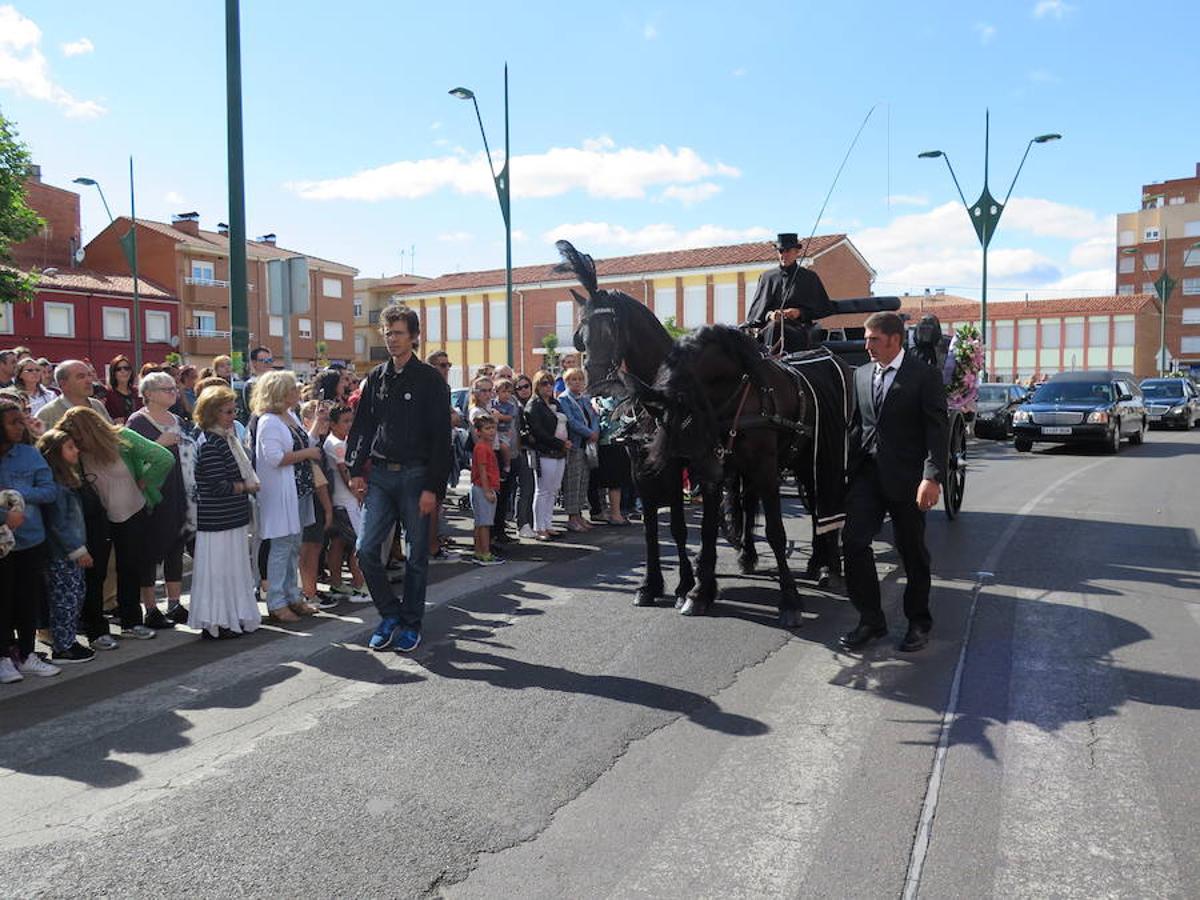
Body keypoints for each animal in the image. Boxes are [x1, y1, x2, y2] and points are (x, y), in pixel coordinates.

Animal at [556, 240, 705, 609]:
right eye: (580, 335)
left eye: (612, 329)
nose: (594, 387)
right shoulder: (639, 467)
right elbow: (650, 527)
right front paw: (650, 585)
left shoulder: (673, 466)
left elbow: (678, 526)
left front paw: (683, 585)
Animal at [648, 328, 854, 628]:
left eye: (687, 416)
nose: (679, 470)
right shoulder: (719, 474)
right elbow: (708, 530)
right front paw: (699, 592)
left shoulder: (765, 469)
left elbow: (776, 533)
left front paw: (790, 600)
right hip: (803, 463)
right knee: (815, 508)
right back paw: (815, 562)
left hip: (827, 458)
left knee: (825, 505)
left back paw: (830, 568)